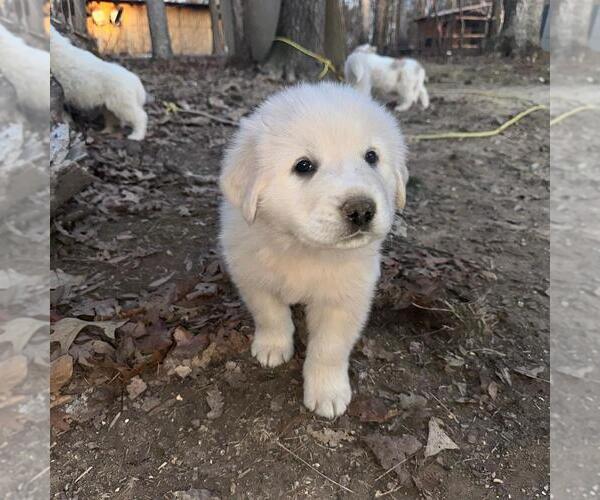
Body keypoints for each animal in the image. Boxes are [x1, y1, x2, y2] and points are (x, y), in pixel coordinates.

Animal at [219, 83, 408, 418]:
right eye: (303, 166)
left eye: (371, 157)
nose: (361, 210)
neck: (302, 246)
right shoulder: (251, 275)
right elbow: (270, 314)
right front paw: (273, 347)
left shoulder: (345, 299)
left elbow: (329, 348)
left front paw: (327, 392)